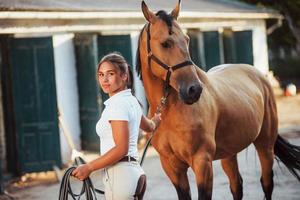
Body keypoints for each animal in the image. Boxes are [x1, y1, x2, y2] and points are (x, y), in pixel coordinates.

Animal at [137, 0, 300, 199]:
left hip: (265, 146)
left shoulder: (202, 163)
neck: (169, 113)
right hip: (229, 153)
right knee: (237, 186)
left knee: (267, 183)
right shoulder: (172, 167)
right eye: (165, 43)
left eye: (187, 40)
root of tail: (258, 75)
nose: (194, 90)